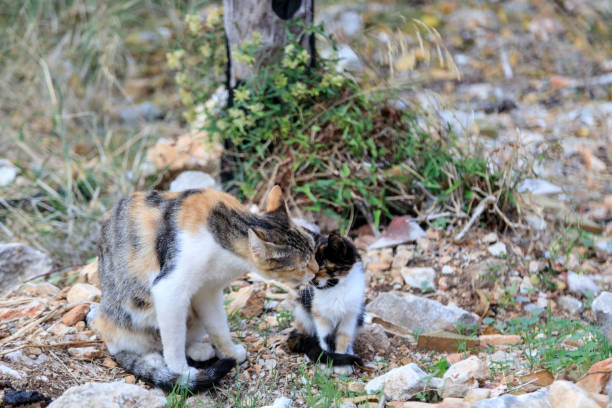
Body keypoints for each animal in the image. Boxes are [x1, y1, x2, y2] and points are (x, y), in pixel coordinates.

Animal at [94, 186, 320, 390]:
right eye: (302, 266)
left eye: (312, 248)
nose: (317, 270)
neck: (222, 231)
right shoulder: (169, 289)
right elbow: (174, 340)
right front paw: (181, 371)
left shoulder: (207, 291)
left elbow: (218, 326)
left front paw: (230, 353)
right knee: (133, 346)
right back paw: (155, 361)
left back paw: (199, 350)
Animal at [286, 231, 364, 374]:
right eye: (309, 265)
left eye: (321, 265)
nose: (311, 280)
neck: (336, 289)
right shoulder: (320, 315)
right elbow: (325, 338)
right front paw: (327, 364)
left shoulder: (350, 316)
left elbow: (343, 339)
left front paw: (342, 365)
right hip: (302, 310)